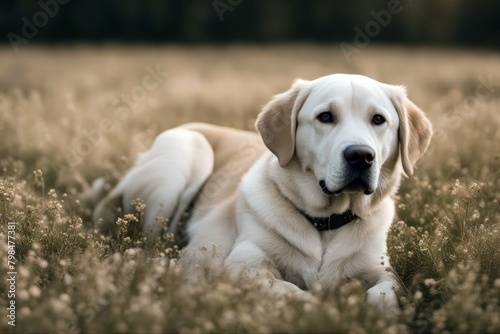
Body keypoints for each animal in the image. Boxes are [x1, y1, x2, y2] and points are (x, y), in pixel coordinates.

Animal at [92, 73, 432, 310]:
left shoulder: (381, 269)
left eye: (378, 119)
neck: (325, 222)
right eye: (325, 116)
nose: (361, 156)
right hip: (187, 154)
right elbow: (288, 290)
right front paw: (318, 305)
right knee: (152, 243)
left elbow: (386, 292)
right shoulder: (245, 261)